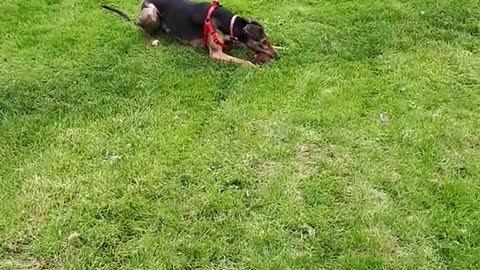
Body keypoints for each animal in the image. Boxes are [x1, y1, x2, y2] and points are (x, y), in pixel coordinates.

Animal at [103, 0, 280, 67]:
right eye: (262, 42)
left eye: (268, 41)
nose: (276, 57)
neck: (228, 22)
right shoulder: (216, 54)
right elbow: (245, 62)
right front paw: (256, 67)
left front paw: (281, 48)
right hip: (151, 13)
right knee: (143, 31)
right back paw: (152, 40)